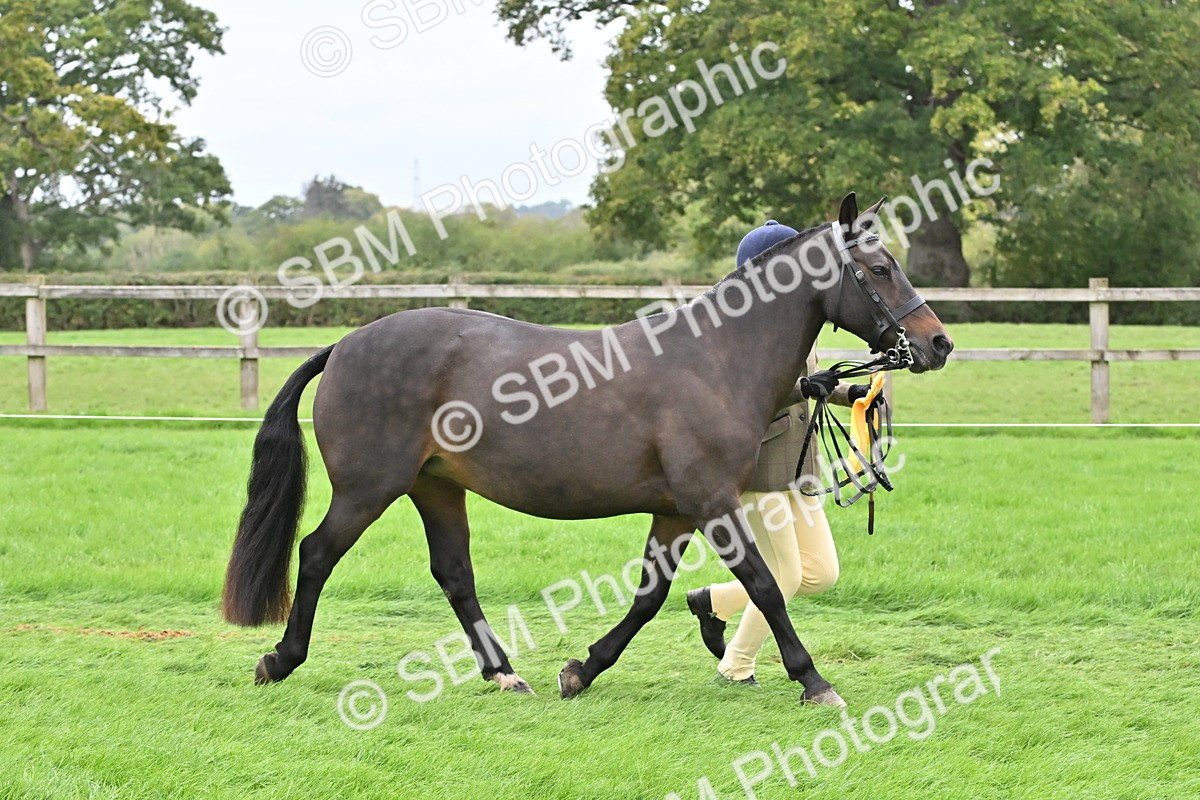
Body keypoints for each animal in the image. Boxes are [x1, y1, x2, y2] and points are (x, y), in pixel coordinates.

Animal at [221, 193, 953, 706]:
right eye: (880, 269)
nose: (938, 342)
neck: (713, 359)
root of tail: (345, 345)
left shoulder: (676, 511)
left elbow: (650, 597)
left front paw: (582, 669)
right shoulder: (711, 501)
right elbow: (767, 588)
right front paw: (814, 681)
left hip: (436, 486)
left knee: (454, 573)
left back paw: (504, 674)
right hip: (369, 489)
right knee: (317, 554)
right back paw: (280, 659)